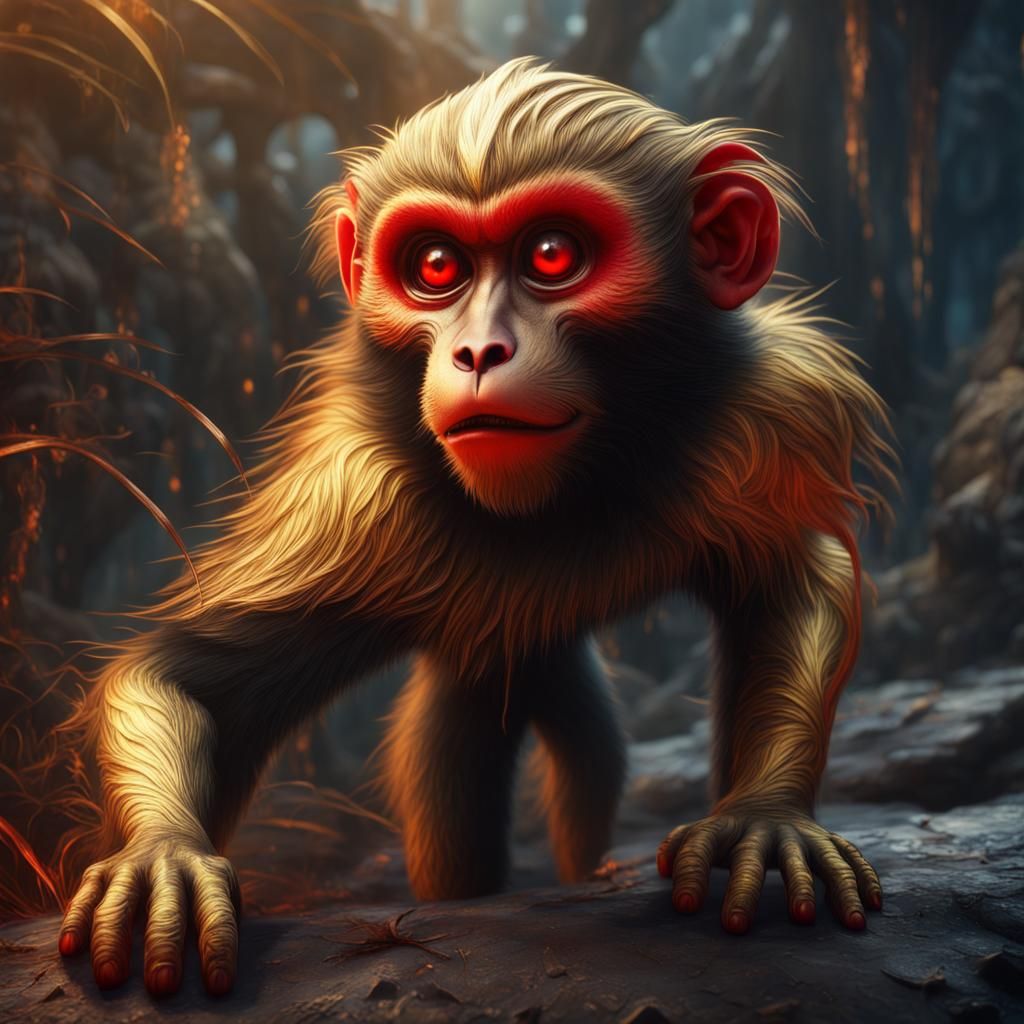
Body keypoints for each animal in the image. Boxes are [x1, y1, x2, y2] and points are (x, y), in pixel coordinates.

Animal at [57, 58, 894, 998]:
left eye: (552, 255)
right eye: (434, 266)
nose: (479, 352)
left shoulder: (768, 414)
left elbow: (792, 580)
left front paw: (764, 817)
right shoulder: (358, 504)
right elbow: (185, 679)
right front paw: (162, 856)